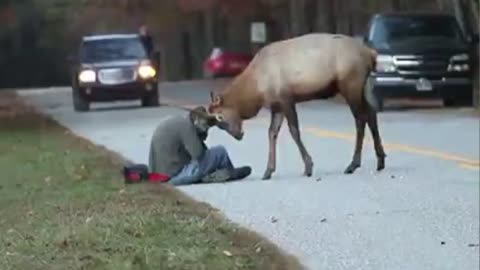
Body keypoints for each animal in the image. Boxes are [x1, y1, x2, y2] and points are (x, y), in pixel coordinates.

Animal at [206, 32, 386, 180]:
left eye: (220, 116)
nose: (238, 135)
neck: (256, 90)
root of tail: (371, 54)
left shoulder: (286, 99)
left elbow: (294, 131)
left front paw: (308, 167)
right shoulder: (276, 106)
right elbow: (272, 133)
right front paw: (268, 171)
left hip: (350, 84)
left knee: (360, 119)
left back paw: (353, 164)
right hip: (362, 86)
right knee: (371, 113)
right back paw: (380, 160)